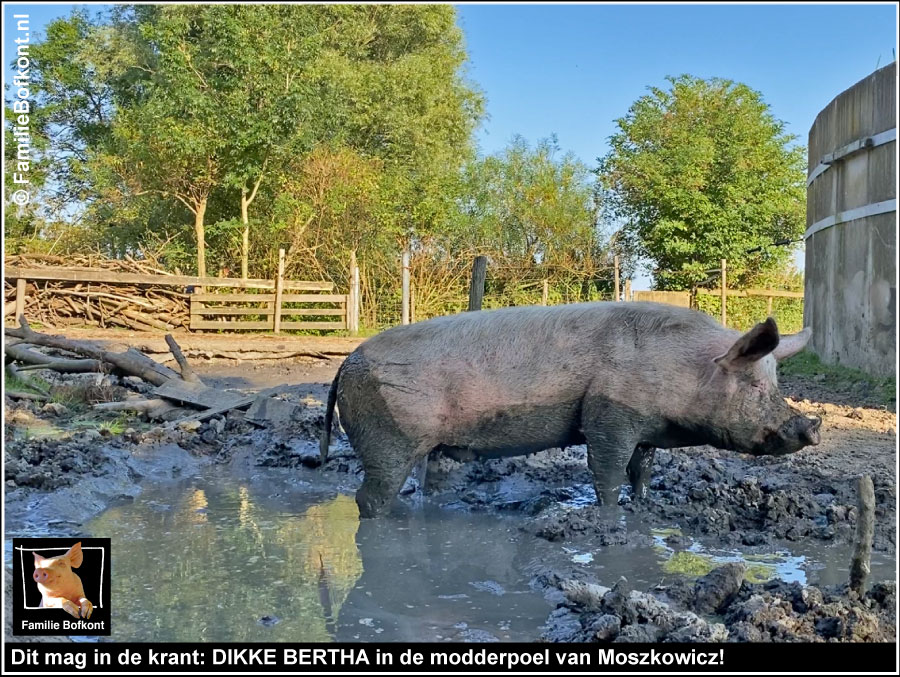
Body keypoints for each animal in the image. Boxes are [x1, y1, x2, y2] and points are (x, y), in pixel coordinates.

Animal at [320, 302, 820, 516]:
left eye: (776, 382)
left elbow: (642, 469)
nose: (810, 428)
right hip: (388, 438)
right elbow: (607, 471)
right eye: (754, 383)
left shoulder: (646, 429)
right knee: (369, 496)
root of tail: (344, 363)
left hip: (434, 447)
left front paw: (646, 505)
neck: (681, 370)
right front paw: (610, 516)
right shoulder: (607, 416)